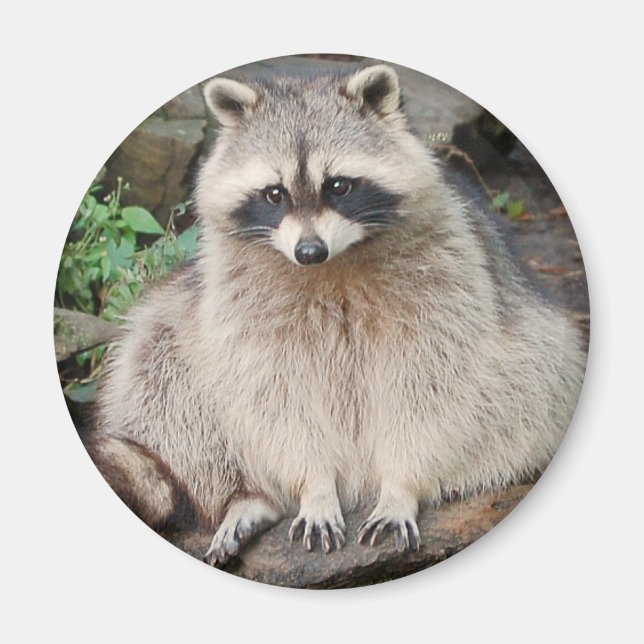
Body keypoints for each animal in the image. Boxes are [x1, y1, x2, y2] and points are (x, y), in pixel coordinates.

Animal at [93, 65, 585, 566]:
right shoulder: (240, 299)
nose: (309, 252)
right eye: (274, 194)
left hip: (534, 360)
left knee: (539, 375)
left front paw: (401, 486)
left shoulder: (446, 277)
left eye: (339, 186)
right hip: (179, 334)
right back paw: (248, 496)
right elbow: (274, 391)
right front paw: (314, 488)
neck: (333, 263)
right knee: (160, 366)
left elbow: (430, 385)